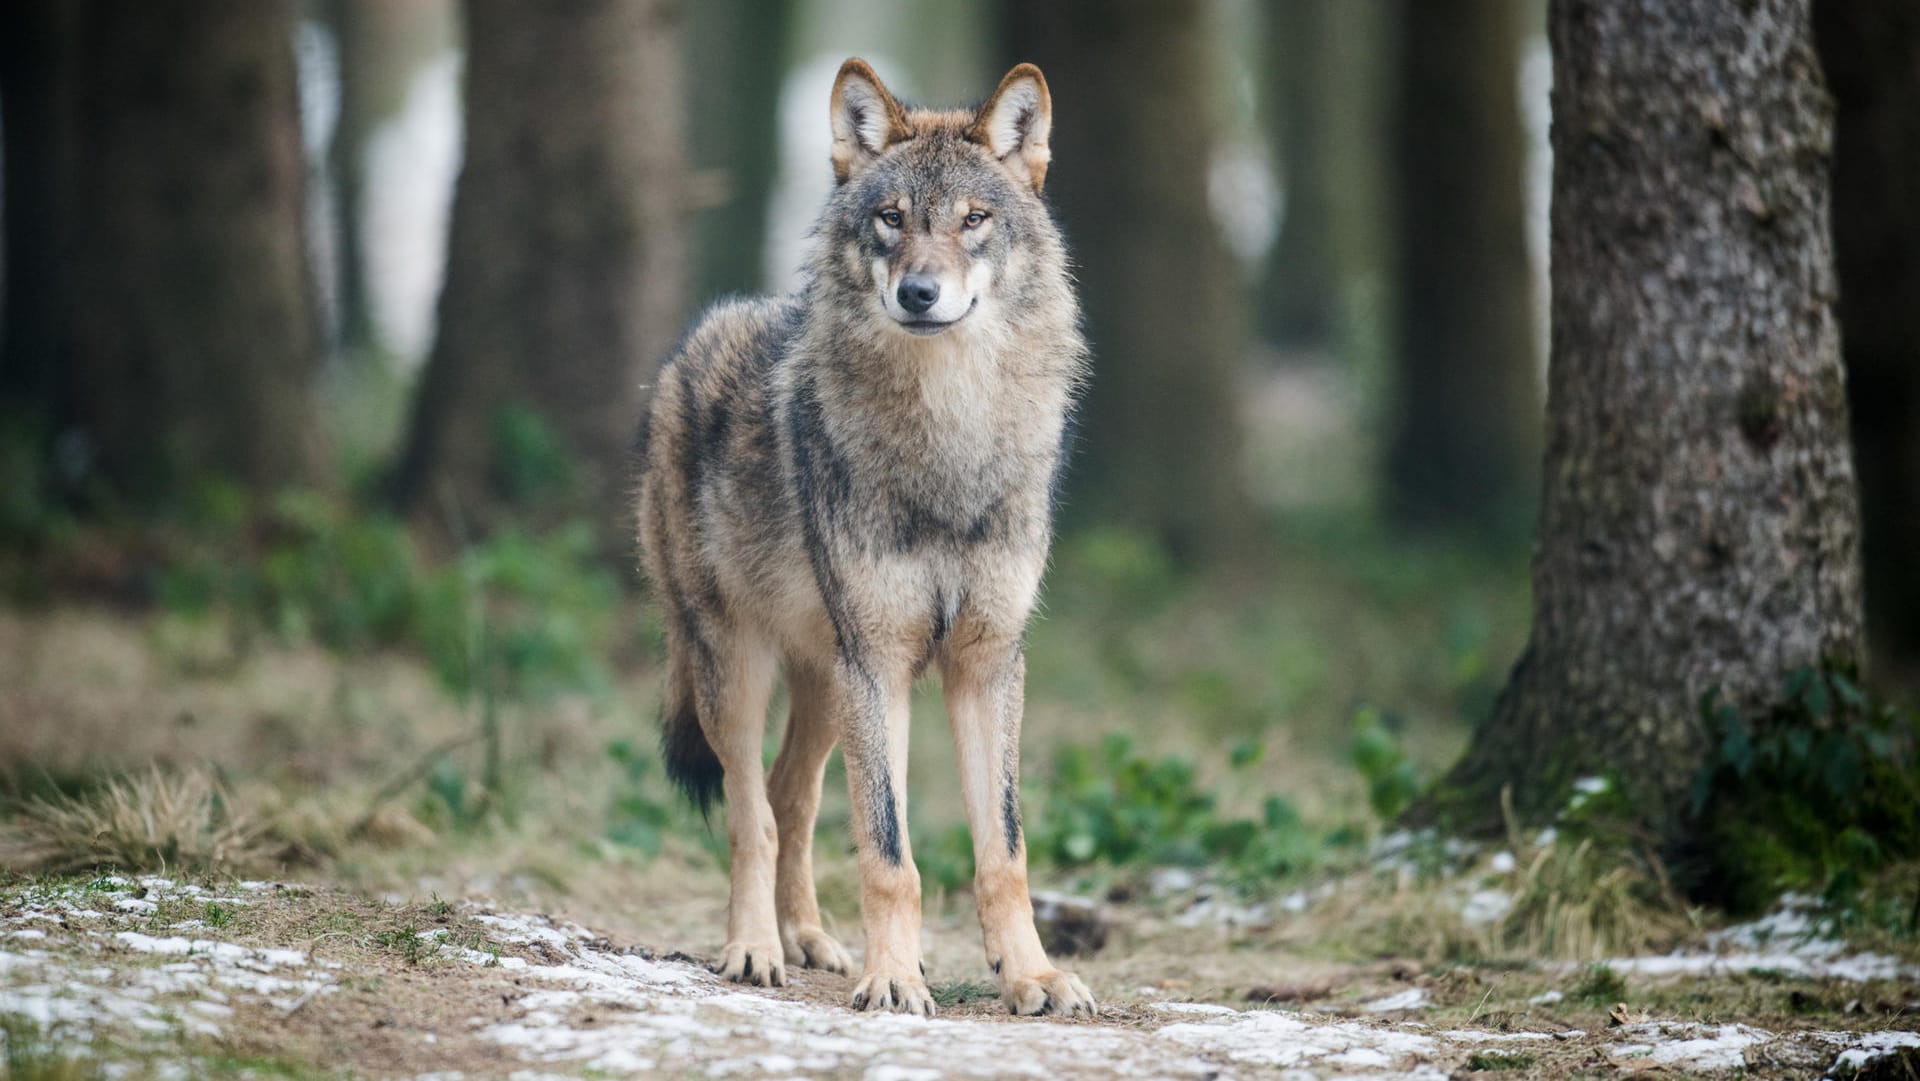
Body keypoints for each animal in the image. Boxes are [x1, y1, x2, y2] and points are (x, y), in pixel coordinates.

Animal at [633, 57, 1098, 1021]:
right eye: (892, 218)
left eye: (972, 220)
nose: (919, 292)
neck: (949, 439)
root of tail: (686, 347)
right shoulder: (879, 662)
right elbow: (890, 851)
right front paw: (894, 978)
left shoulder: (987, 663)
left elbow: (1004, 849)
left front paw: (1030, 976)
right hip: (740, 667)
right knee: (752, 811)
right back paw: (755, 948)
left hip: (824, 683)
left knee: (793, 797)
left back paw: (810, 938)